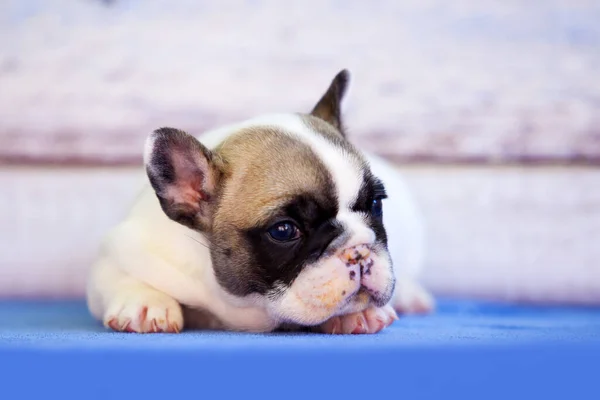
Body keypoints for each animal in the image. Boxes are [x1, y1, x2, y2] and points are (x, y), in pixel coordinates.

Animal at [86, 69, 434, 334]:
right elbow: (122, 276)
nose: (358, 251)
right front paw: (145, 303)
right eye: (284, 230)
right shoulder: (121, 251)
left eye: (375, 204)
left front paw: (356, 312)